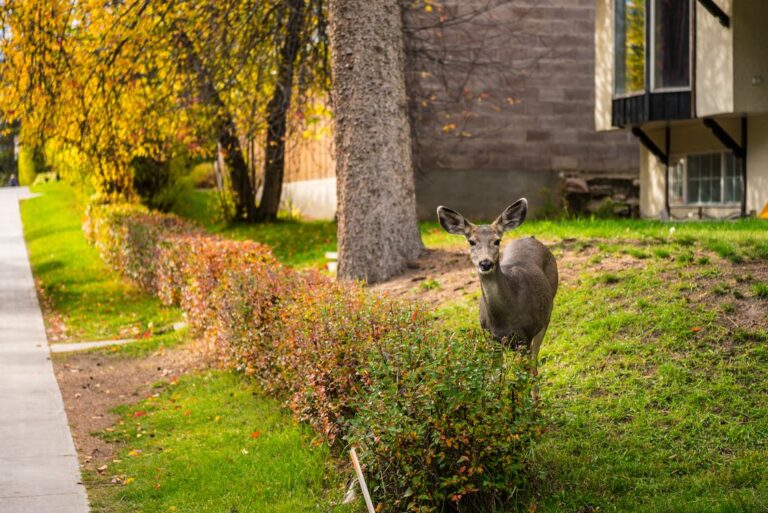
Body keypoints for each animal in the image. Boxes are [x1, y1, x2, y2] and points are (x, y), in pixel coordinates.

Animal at [437, 199, 558, 366]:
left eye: (497, 240)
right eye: (471, 242)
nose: (485, 263)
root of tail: (532, 238)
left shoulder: (525, 336)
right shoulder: (490, 338)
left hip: (547, 313)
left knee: (535, 357)